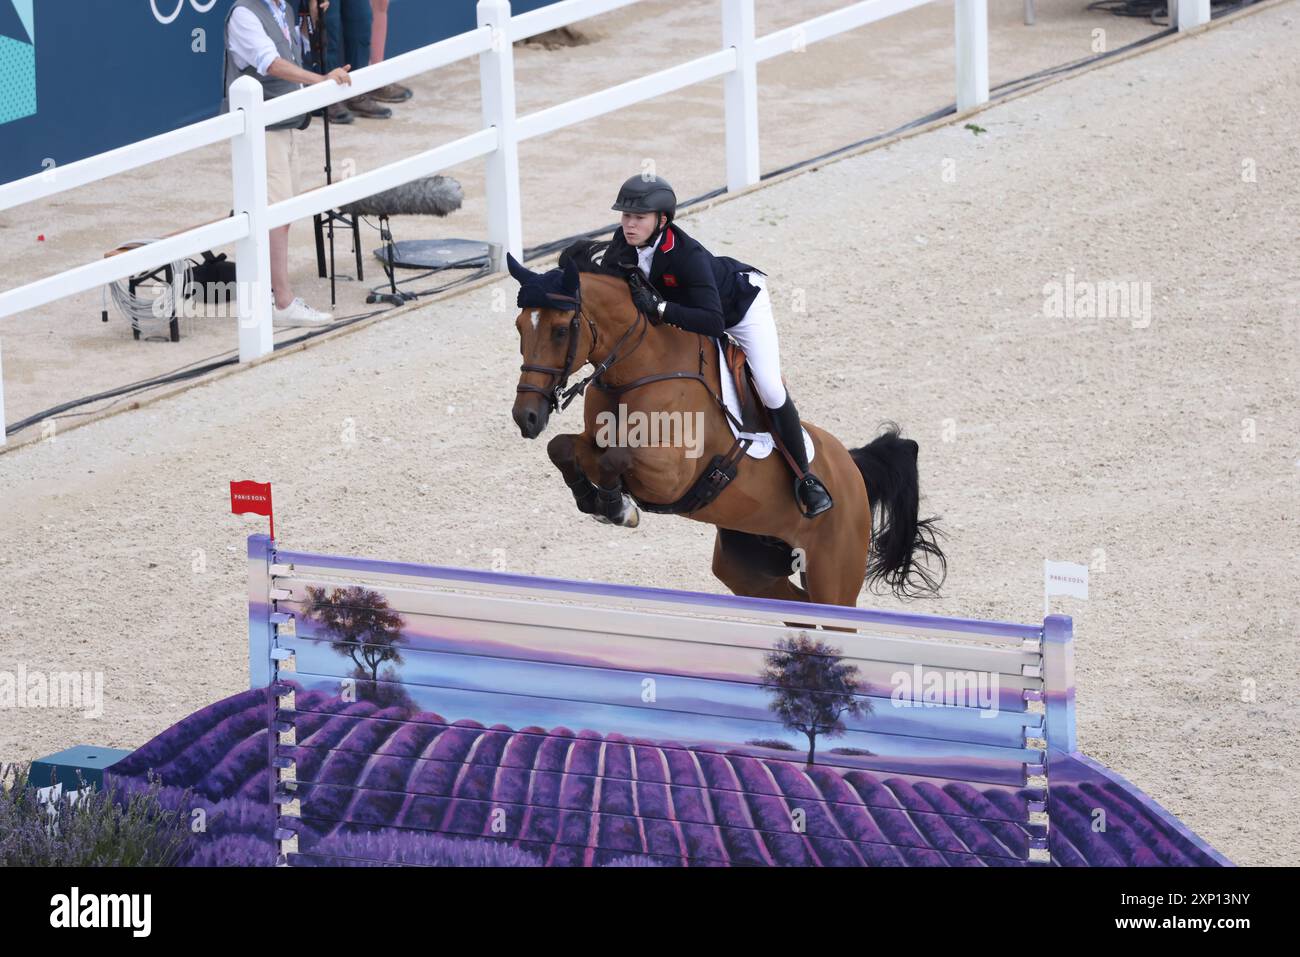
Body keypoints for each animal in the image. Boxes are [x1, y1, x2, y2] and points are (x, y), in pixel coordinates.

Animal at [506, 243, 946, 608]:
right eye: (519, 328)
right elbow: (564, 448)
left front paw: (618, 508)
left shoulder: (669, 476)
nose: (526, 417)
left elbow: (614, 459)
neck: (637, 369)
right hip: (750, 570)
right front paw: (592, 500)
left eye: (559, 330)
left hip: (832, 574)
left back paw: (814, 494)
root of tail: (853, 469)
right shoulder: (595, 442)